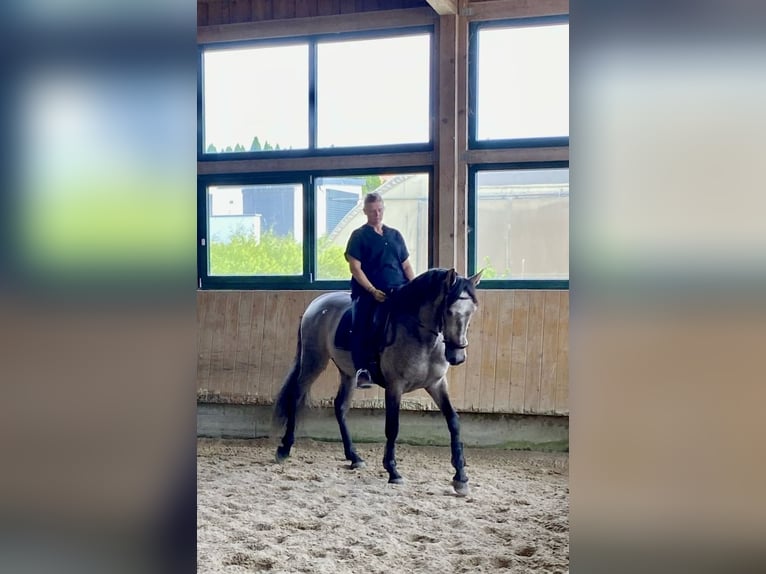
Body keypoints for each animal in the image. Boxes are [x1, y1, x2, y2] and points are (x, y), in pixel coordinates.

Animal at [272, 267, 483, 495]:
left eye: (472, 312)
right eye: (449, 311)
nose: (457, 357)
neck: (420, 335)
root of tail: (317, 303)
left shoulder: (436, 384)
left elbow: (453, 421)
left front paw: (460, 477)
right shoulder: (395, 385)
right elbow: (392, 427)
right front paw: (393, 471)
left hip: (347, 372)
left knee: (340, 406)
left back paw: (354, 457)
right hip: (314, 360)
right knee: (296, 396)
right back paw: (284, 448)